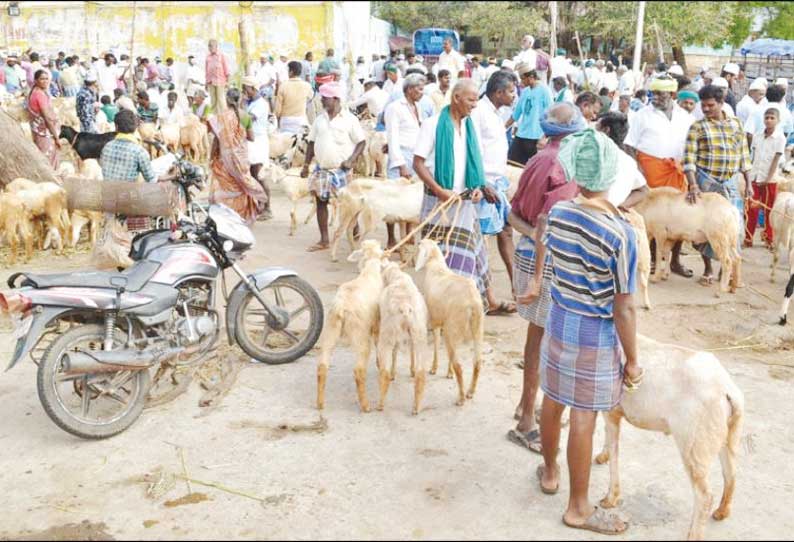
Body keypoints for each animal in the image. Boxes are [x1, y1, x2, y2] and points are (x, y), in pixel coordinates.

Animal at [318, 240, 386, 414]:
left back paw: (320, 404)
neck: (369, 271)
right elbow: (378, 342)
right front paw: (379, 363)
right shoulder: (376, 323)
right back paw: (365, 405)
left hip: (330, 329)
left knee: (322, 366)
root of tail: (342, 307)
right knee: (359, 370)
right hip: (360, 334)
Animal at [376, 264, 426, 416]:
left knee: (384, 373)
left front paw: (394, 373)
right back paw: (416, 407)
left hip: (387, 335)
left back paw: (380, 404)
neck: (397, 277)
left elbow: (395, 352)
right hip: (419, 334)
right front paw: (411, 370)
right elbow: (410, 350)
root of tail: (404, 307)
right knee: (421, 374)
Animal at [414, 240, 482, 406]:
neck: (437, 266)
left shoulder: (435, 321)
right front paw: (448, 373)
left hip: (455, 327)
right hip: (477, 329)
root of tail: (472, 303)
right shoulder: (445, 323)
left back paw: (461, 398)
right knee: (477, 362)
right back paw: (470, 392)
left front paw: (434, 368)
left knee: (460, 366)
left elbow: (437, 343)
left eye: (420, 244)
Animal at [592, 338, 744, 540]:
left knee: (704, 495)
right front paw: (603, 456)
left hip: (693, 443)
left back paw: (694, 535)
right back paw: (722, 511)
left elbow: (614, 453)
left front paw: (610, 499)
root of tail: (727, 390)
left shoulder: (611, 411)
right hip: (729, 434)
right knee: (731, 474)